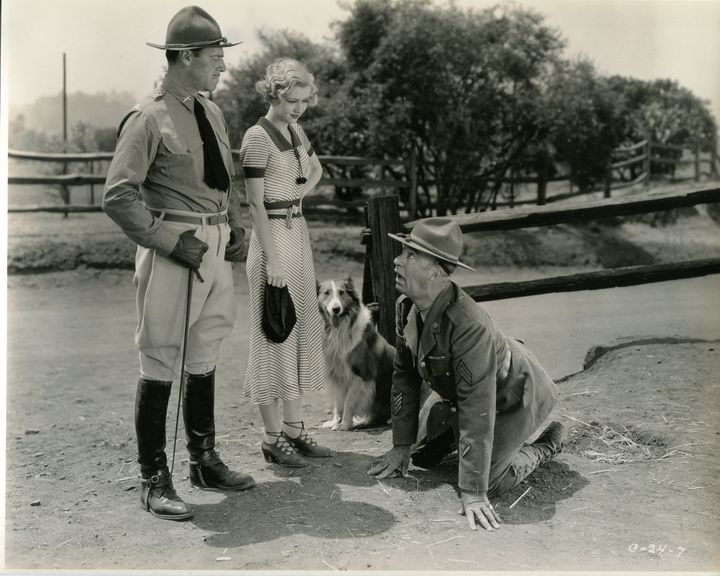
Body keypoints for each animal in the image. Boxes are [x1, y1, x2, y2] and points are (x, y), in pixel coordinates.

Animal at [316, 276, 394, 430]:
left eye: (341, 292)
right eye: (326, 293)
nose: (336, 309)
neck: (339, 330)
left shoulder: (360, 375)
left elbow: (348, 402)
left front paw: (344, 425)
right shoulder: (337, 373)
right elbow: (338, 402)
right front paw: (335, 421)